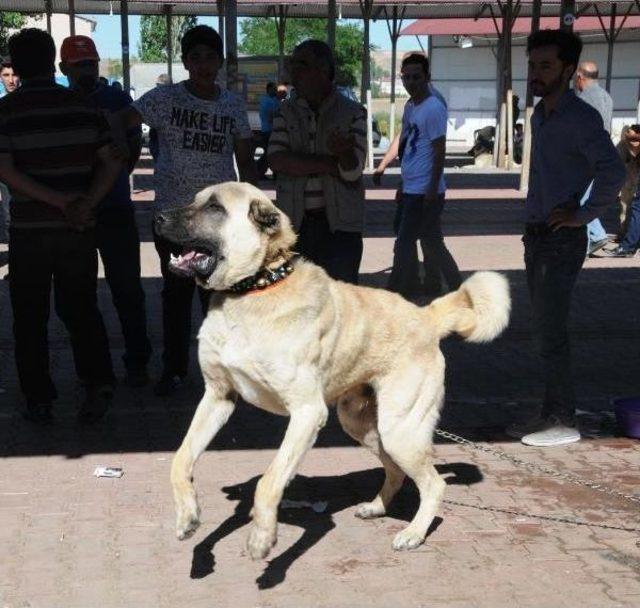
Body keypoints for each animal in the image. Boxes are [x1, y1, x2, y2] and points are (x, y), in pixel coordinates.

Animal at [155, 182, 510, 560]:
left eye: (215, 208)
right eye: (195, 199)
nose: (157, 217)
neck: (255, 287)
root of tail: (425, 315)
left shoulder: (307, 413)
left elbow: (268, 482)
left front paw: (262, 536)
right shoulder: (219, 397)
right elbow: (179, 460)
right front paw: (188, 516)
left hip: (400, 429)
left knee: (434, 483)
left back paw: (414, 532)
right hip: (361, 424)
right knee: (396, 471)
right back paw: (377, 507)